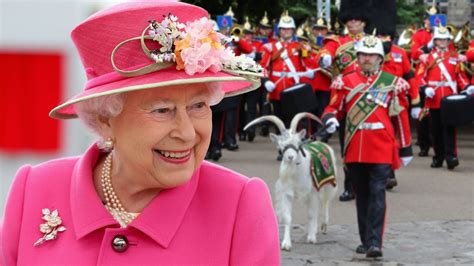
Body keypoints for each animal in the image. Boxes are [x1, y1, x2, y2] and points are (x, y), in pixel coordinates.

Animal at [244, 112, 336, 251]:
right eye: (281, 147)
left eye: (298, 144)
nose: (290, 157)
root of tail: (321, 143)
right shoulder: (286, 192)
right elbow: (287, 218)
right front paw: (286, 244)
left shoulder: (312, 191)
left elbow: (311, 214)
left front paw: (311, 237)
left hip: (329, 181)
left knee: (326, 201)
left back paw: (324, 225)